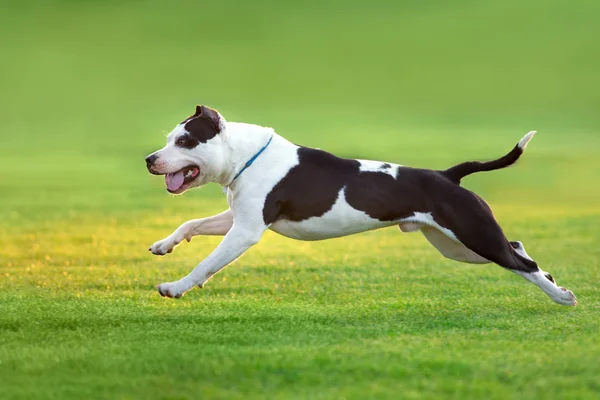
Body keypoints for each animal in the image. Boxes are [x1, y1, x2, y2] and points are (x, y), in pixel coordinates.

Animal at [144, 104, 576, 304]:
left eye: (184, 141)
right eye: (167, 139)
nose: (149, 159)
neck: (246, 157)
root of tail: (448, 175)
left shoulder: (246, 231)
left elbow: (206, 263)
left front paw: (175, 287)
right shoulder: (239, 217)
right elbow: (192, 224)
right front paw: (165, 245)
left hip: (473, 234)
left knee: (520, 262)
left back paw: (562, 296)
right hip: (457, 246)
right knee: (518, 250)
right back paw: (553, 283)